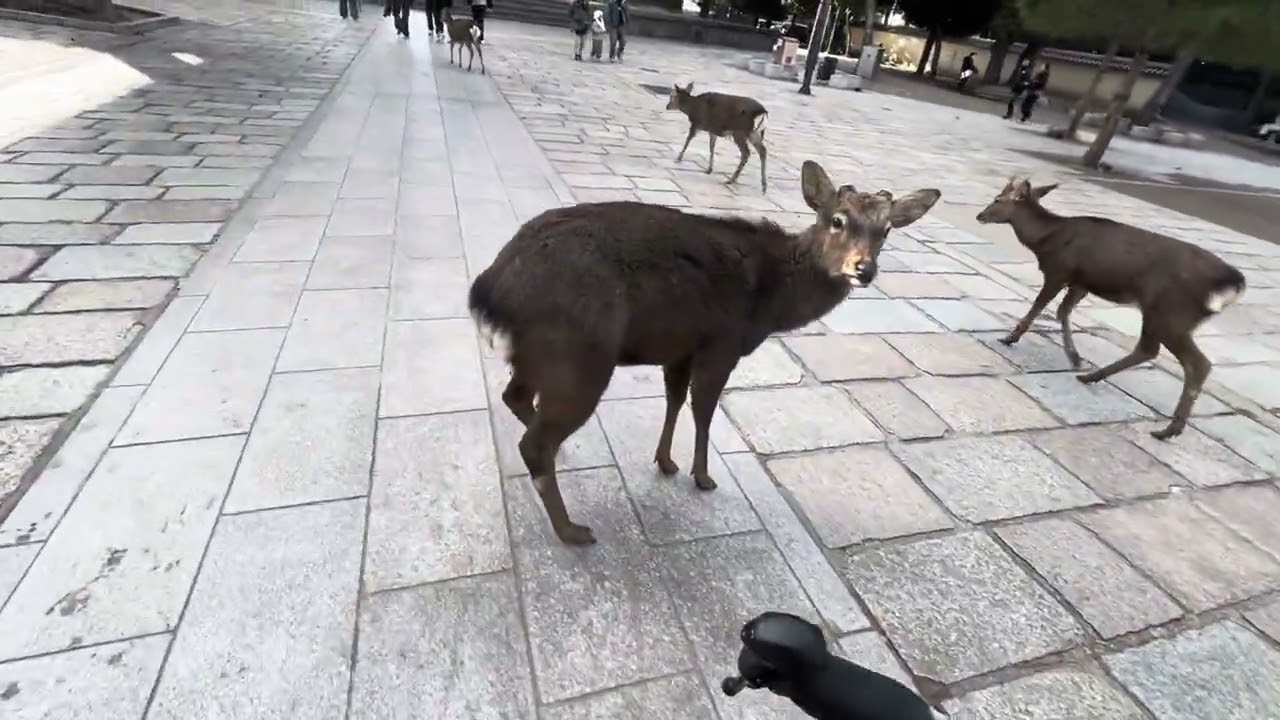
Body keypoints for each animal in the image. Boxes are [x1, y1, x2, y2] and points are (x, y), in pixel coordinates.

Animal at [469, 161, 941, 545]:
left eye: (886, 230)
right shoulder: (722, 343)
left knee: (516, 399)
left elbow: (675, 399)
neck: (770, 304)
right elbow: (704, 409)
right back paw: (571, 529)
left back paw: (561, 460)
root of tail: (490, 290)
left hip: (535, 355)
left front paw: (665, 461)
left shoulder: (681, 347)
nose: (864, 269)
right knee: (535, 441)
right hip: (579, 355)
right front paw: (702, 476)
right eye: (837, 220)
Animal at [976, 176, 1246, 441]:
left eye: (998, 199)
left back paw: (1169, 429)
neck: (1045, 241)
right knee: (1150, 351)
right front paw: (1075, 358)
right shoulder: (1081, 282)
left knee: (1194, 362)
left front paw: (1010, 337)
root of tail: (1233, 284)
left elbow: (1038, 307)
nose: (980, 215)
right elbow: (1063, 311)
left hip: (1169, 311)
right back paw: (1092, 377)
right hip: (1171, 316)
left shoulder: (1059, 271)